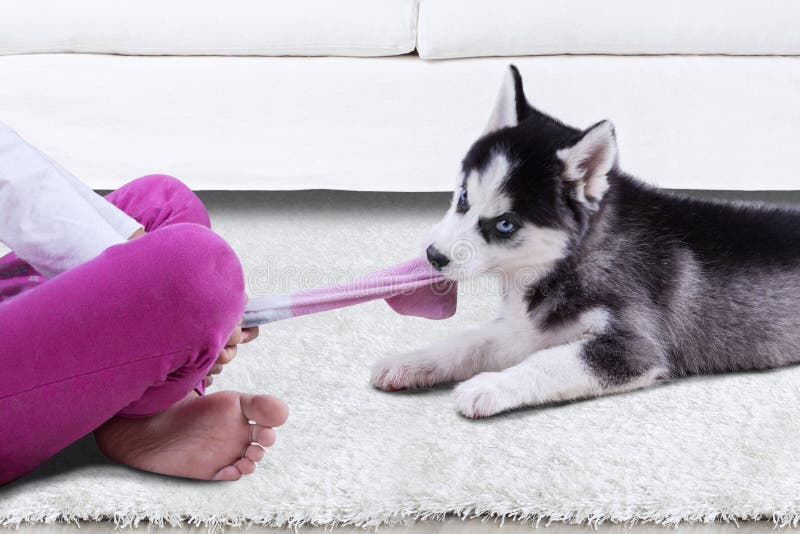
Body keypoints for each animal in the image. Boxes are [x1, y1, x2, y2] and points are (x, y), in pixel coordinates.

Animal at [372, 66, 800, 418]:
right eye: (463, 197)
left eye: (506, 224)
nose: (434, 256)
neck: (573, 258)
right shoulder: (526, 328)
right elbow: (468, 342)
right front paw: (412, 362)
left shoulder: (635, 347)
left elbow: (547, 363)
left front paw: (490, 385)